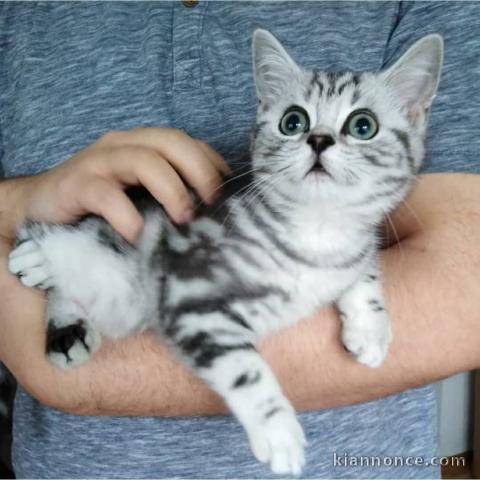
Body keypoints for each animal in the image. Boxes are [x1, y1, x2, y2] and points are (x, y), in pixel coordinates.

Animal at [8, 31, 442, 476]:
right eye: (293, 121)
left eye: (362, 125)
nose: (318, 139)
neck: (316, 233)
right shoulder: (187, 293)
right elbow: (242, 369)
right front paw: (278, 430)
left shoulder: (352, 249)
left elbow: (363, 265)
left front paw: (370, 327)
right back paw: (44, 265)